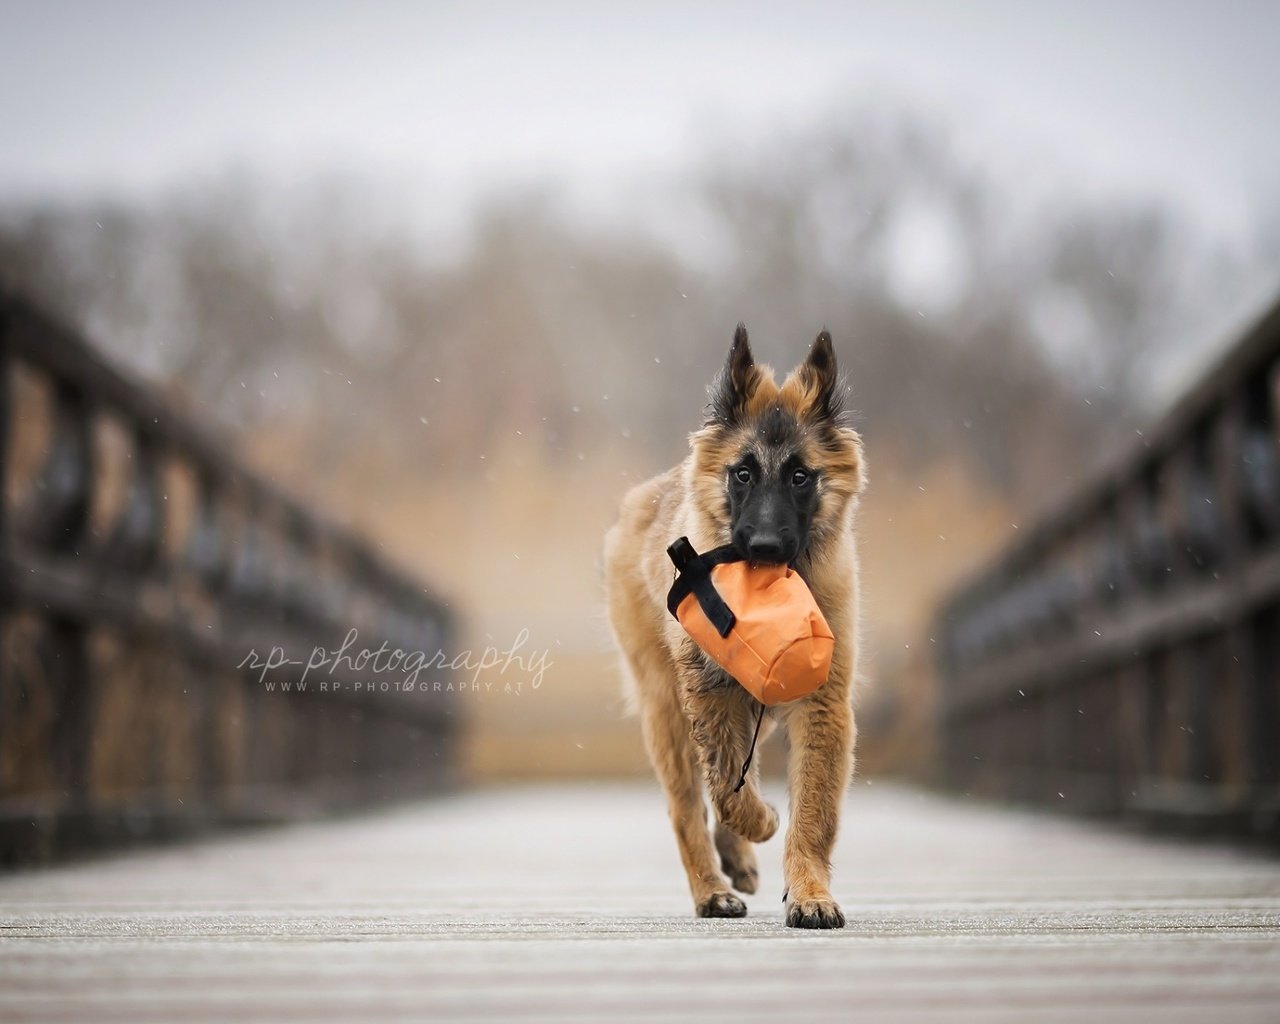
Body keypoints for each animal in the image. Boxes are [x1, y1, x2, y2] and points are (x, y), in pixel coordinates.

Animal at [601, 322, 865, 926]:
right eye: (743, 473)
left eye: (799, 476)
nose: (764, 548)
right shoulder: (711, 694)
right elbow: (725, 788)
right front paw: (763, 821)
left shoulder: (821, 705)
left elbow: (812, 812)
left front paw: (810, 893)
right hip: (665, 710)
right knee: (686, 806)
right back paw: (711, 889)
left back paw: (736, 860)